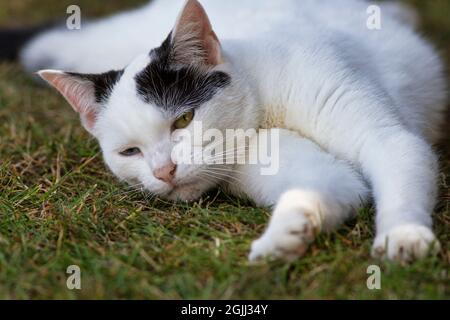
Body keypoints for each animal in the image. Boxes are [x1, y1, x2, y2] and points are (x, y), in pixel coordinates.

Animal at [12, 0, 448, 262]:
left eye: (183, 121)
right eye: (130, 152)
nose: (164, 172)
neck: (265, 110)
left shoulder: (385, 136)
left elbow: (397, 157)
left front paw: (404, 236)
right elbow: (332, 187)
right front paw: (285, 235)